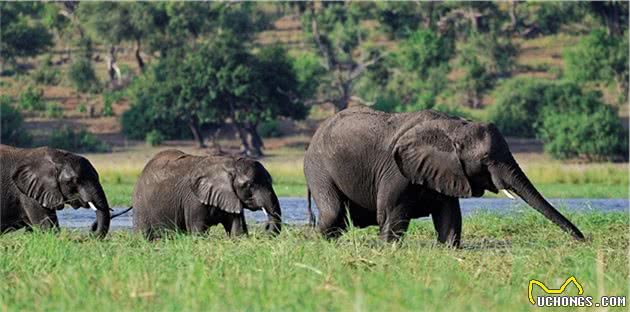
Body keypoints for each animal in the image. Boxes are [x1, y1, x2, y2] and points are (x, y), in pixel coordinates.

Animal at [133, 149, 282, 239]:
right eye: (248, 185)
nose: (266, 227)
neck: (230, 163)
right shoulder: (194, 198)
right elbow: (198, 230)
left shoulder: (230, 196)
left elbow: (236, 229)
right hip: (142, 205)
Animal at [304, 106, 584, 245]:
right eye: (486, 160)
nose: (583, 240)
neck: (455, 128)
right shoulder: (396, 171)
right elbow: (392, 218)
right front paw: (386, 249)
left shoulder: (446, 172)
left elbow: (449, 218)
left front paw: (448, 249)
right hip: (318, 169)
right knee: (333, 214)